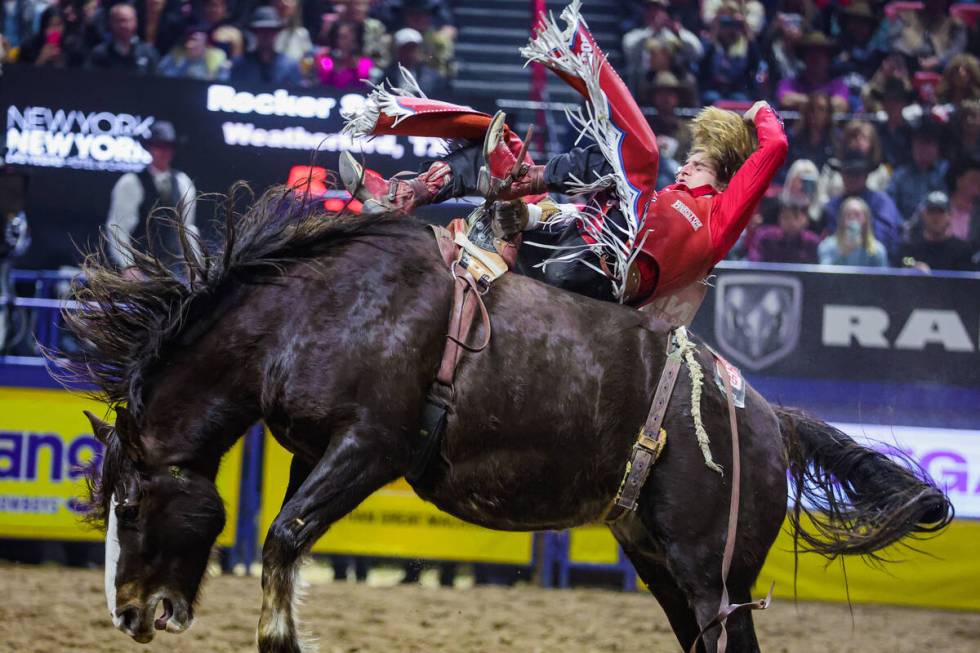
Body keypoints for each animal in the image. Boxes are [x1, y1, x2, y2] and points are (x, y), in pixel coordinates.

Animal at [61, 188, 948, 652]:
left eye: (130, 503)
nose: (129, 612)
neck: (309, 311)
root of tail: (767, 415)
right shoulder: (315, 450)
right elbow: (287, 532)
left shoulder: (372, 445)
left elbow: (282, 536)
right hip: (662, 560)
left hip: (711, 571)